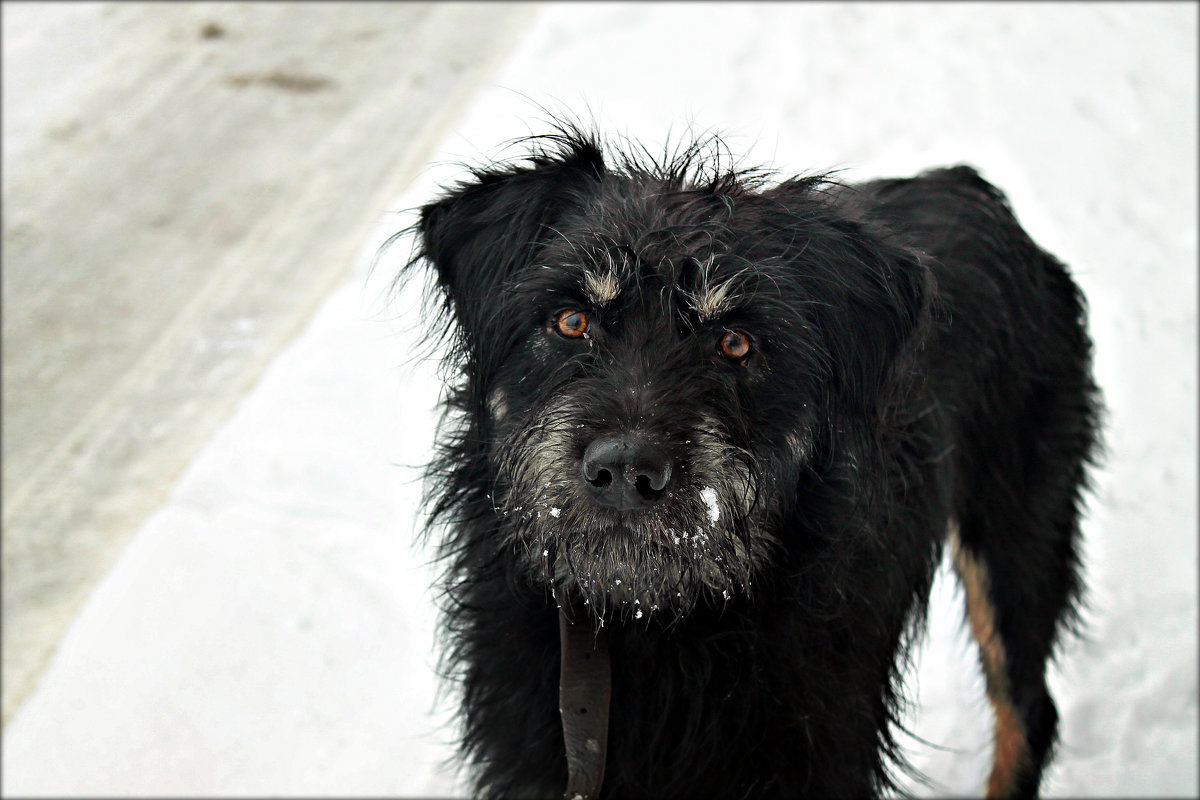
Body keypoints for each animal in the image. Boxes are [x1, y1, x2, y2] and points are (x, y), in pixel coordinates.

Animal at [403, 126, 1099, 800]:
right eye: (572, 321)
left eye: (735, 343)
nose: (626, 470)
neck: (651, 616)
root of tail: (965, 186)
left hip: (1016, 535)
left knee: (1029, 710)